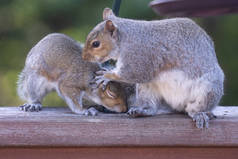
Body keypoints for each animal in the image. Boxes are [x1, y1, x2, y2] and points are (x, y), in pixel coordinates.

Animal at [82, 8, 225, 129]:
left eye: (96, 44)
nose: (84, 57)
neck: (125, 39)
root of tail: (177, 105)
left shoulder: (140, 56)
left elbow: (134, 73)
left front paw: (107, 75)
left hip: (208, 90)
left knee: (194, 109)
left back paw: (199, 114)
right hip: (147, 89)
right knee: (152, 107)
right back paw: (142, 111)